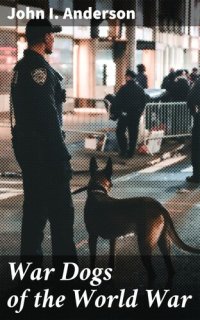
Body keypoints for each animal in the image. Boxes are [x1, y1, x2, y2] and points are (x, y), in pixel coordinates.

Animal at [84, 156, 200, 284]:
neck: (97, 190)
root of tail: (158, 205)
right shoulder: (112, 239)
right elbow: (111, 258)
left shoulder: (92, 237)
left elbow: (92, 260)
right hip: (163, 243)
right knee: (170, 268)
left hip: (144, 245)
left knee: (152, 272)